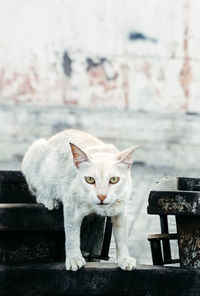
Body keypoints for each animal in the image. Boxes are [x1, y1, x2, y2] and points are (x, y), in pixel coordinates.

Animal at [21, 129, 138, 270]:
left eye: (114, 180)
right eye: (90, 179)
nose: (102, 196)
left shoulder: (121, 209)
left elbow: (122, 237)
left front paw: (124, 259)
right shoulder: (71, 208)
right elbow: (72, 236)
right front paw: (74, 259)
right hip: (35, 156)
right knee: (37, 192)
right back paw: (50, 200)